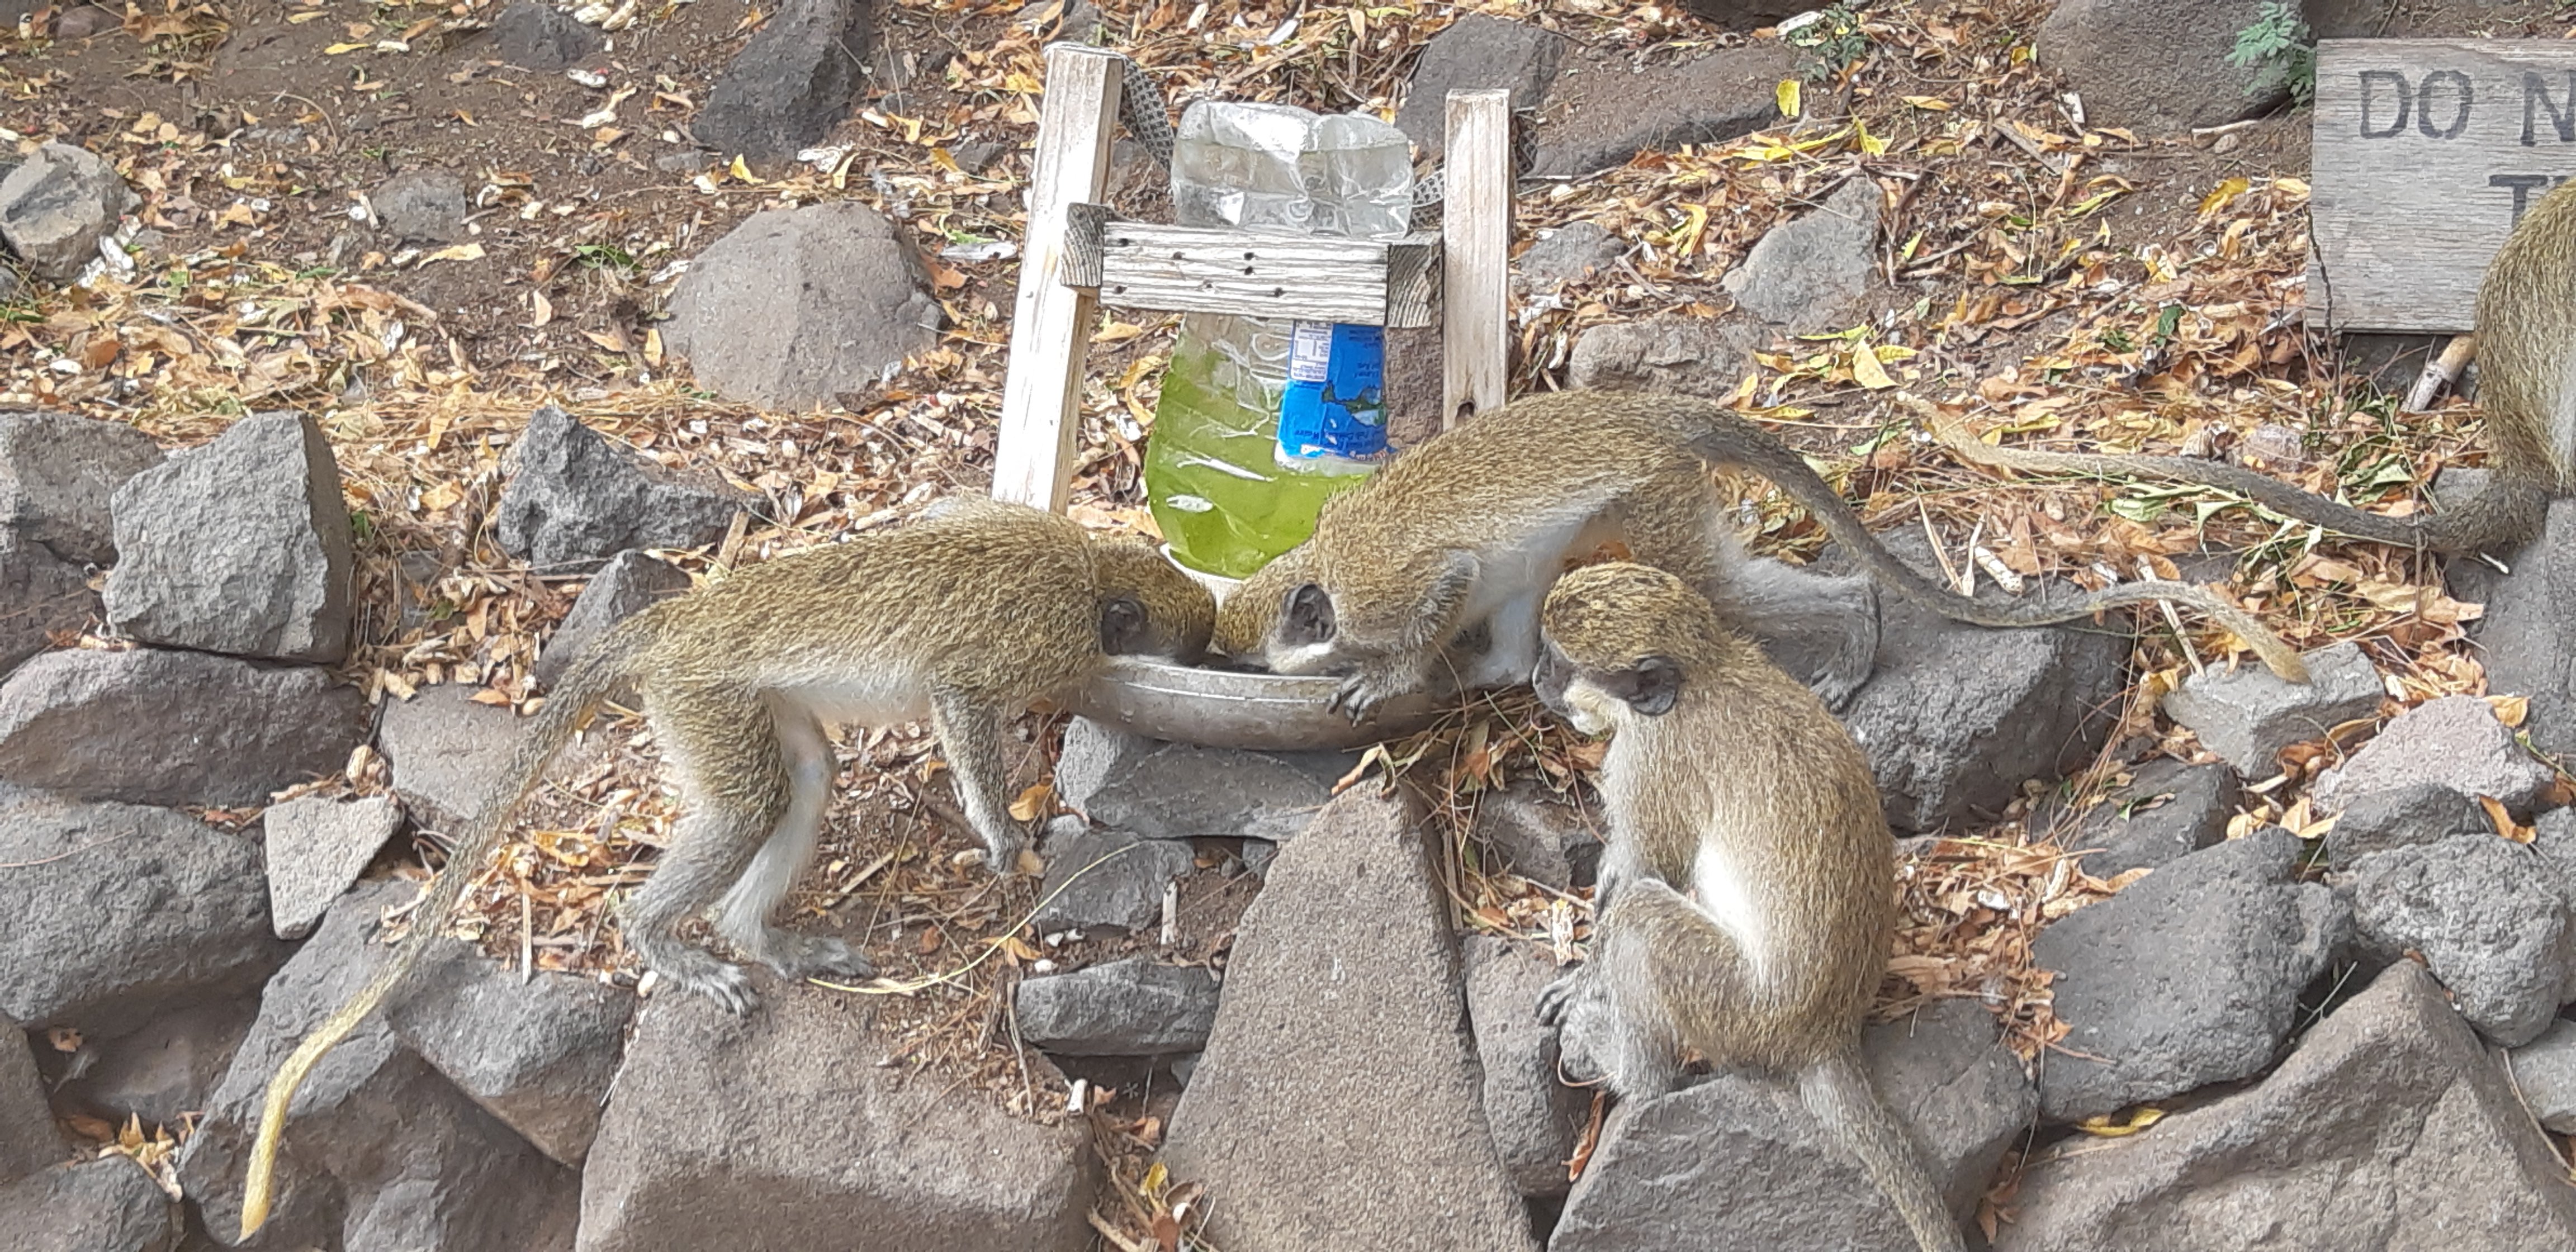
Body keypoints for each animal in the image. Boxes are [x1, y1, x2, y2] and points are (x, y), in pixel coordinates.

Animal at [239, 494, 1205, 1236]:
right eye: (1195, 653)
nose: (1213, 659)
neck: (1090, 571)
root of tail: (683, 618)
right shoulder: (1036, 639)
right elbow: (959, 697)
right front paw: (1004, 837)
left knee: (803, 780)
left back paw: (757, 937)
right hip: (699, 693)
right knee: (751, 805)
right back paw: (657, 937)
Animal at [1210, 386, 2318, 721]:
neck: (1319, 565)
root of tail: (1649, 411)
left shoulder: (1382, 586)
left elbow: (1444, 582)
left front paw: (1394, 675)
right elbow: (1492, 605)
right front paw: (1476, 675)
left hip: (1654, 494)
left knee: (1713, 585)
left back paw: (1855, 631)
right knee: (1531, 583)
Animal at [1535, 564, 1958, 1252]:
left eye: (1557, 659)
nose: (1534, 677)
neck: (1706, 671)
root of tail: (1826, 1032)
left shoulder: (1653, 755)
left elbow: (1645, 871)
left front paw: (1582, 981)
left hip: (1737, 1010)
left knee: (1643, 921)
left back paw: (1630, 1073)